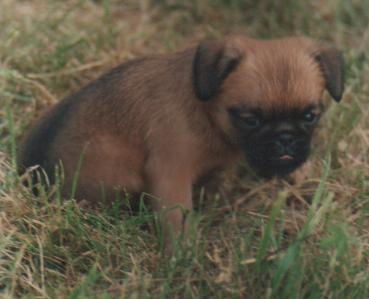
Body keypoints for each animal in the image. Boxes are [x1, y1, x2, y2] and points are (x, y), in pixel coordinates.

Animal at [18, 35, 344, 248]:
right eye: (250, 120)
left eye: (310, 116)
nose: (285, 138)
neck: (206, 113)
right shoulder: (170, 175)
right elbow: (177, 219)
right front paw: (183, 258)